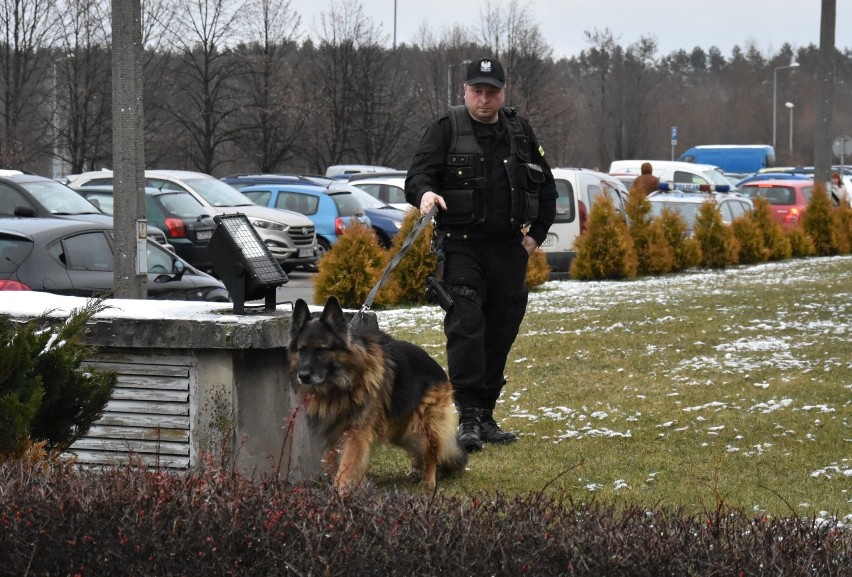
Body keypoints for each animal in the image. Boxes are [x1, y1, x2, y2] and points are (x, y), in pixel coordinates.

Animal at [292, 294, 466, 492]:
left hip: (421, 424)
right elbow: (332, 463)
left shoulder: (356, 432)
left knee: (430, 451)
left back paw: (429, 480)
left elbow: (347, 465)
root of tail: (437, 367)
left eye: (321, 349)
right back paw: (417, 472)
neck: (341, 384)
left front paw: (341, 492)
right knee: (418, 450)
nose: (303, 376)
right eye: (301, 350)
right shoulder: (332, 433)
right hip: (402, 430)